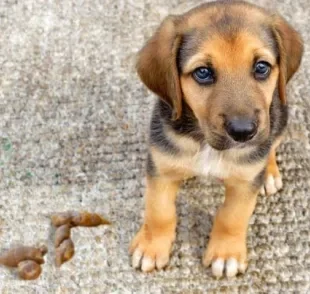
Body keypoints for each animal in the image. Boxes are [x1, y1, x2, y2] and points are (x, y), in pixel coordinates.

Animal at [130, 0, 304, 278]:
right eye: (203, 72)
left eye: (261, 67)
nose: (243, 132)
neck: (206, 144)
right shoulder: (160, 168)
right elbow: (159, 211)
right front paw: (151, 246)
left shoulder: (244, 183)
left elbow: (232, 217)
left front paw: (226, 253)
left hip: (280, 119)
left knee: (272, 147)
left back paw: (269, 174)